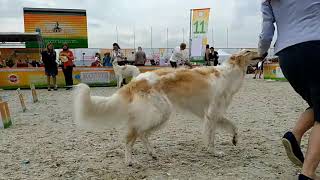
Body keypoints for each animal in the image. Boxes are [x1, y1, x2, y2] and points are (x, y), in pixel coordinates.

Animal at [74, 49, 262, 166]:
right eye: (248, 51)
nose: (264, 53)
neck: (228, 74)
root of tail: (137, 81)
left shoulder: (215, 114)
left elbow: (233, 126)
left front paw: (234, 140)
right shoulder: (212, 114)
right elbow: (211, 138)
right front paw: (214, 152)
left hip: (159, 115)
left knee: (142, 134)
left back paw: (153, 153)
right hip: (160, 113)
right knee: (131, 137)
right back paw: (129, 161)